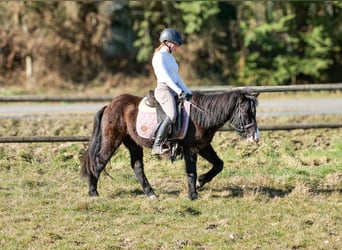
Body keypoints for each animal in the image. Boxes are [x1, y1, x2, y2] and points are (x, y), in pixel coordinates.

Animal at [81, 89, 260, 200]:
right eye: (245, 112)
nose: (255, 136)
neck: (200, 115)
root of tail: (110, 105)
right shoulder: (191, 149)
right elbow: (191, 172)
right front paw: (193, 194)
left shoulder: (203, 146)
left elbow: (218, 164)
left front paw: (201, 182)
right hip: (112, 140)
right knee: (99, 162)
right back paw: (93, 192)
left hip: (133, 143)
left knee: (137, 166)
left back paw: (151, 193)